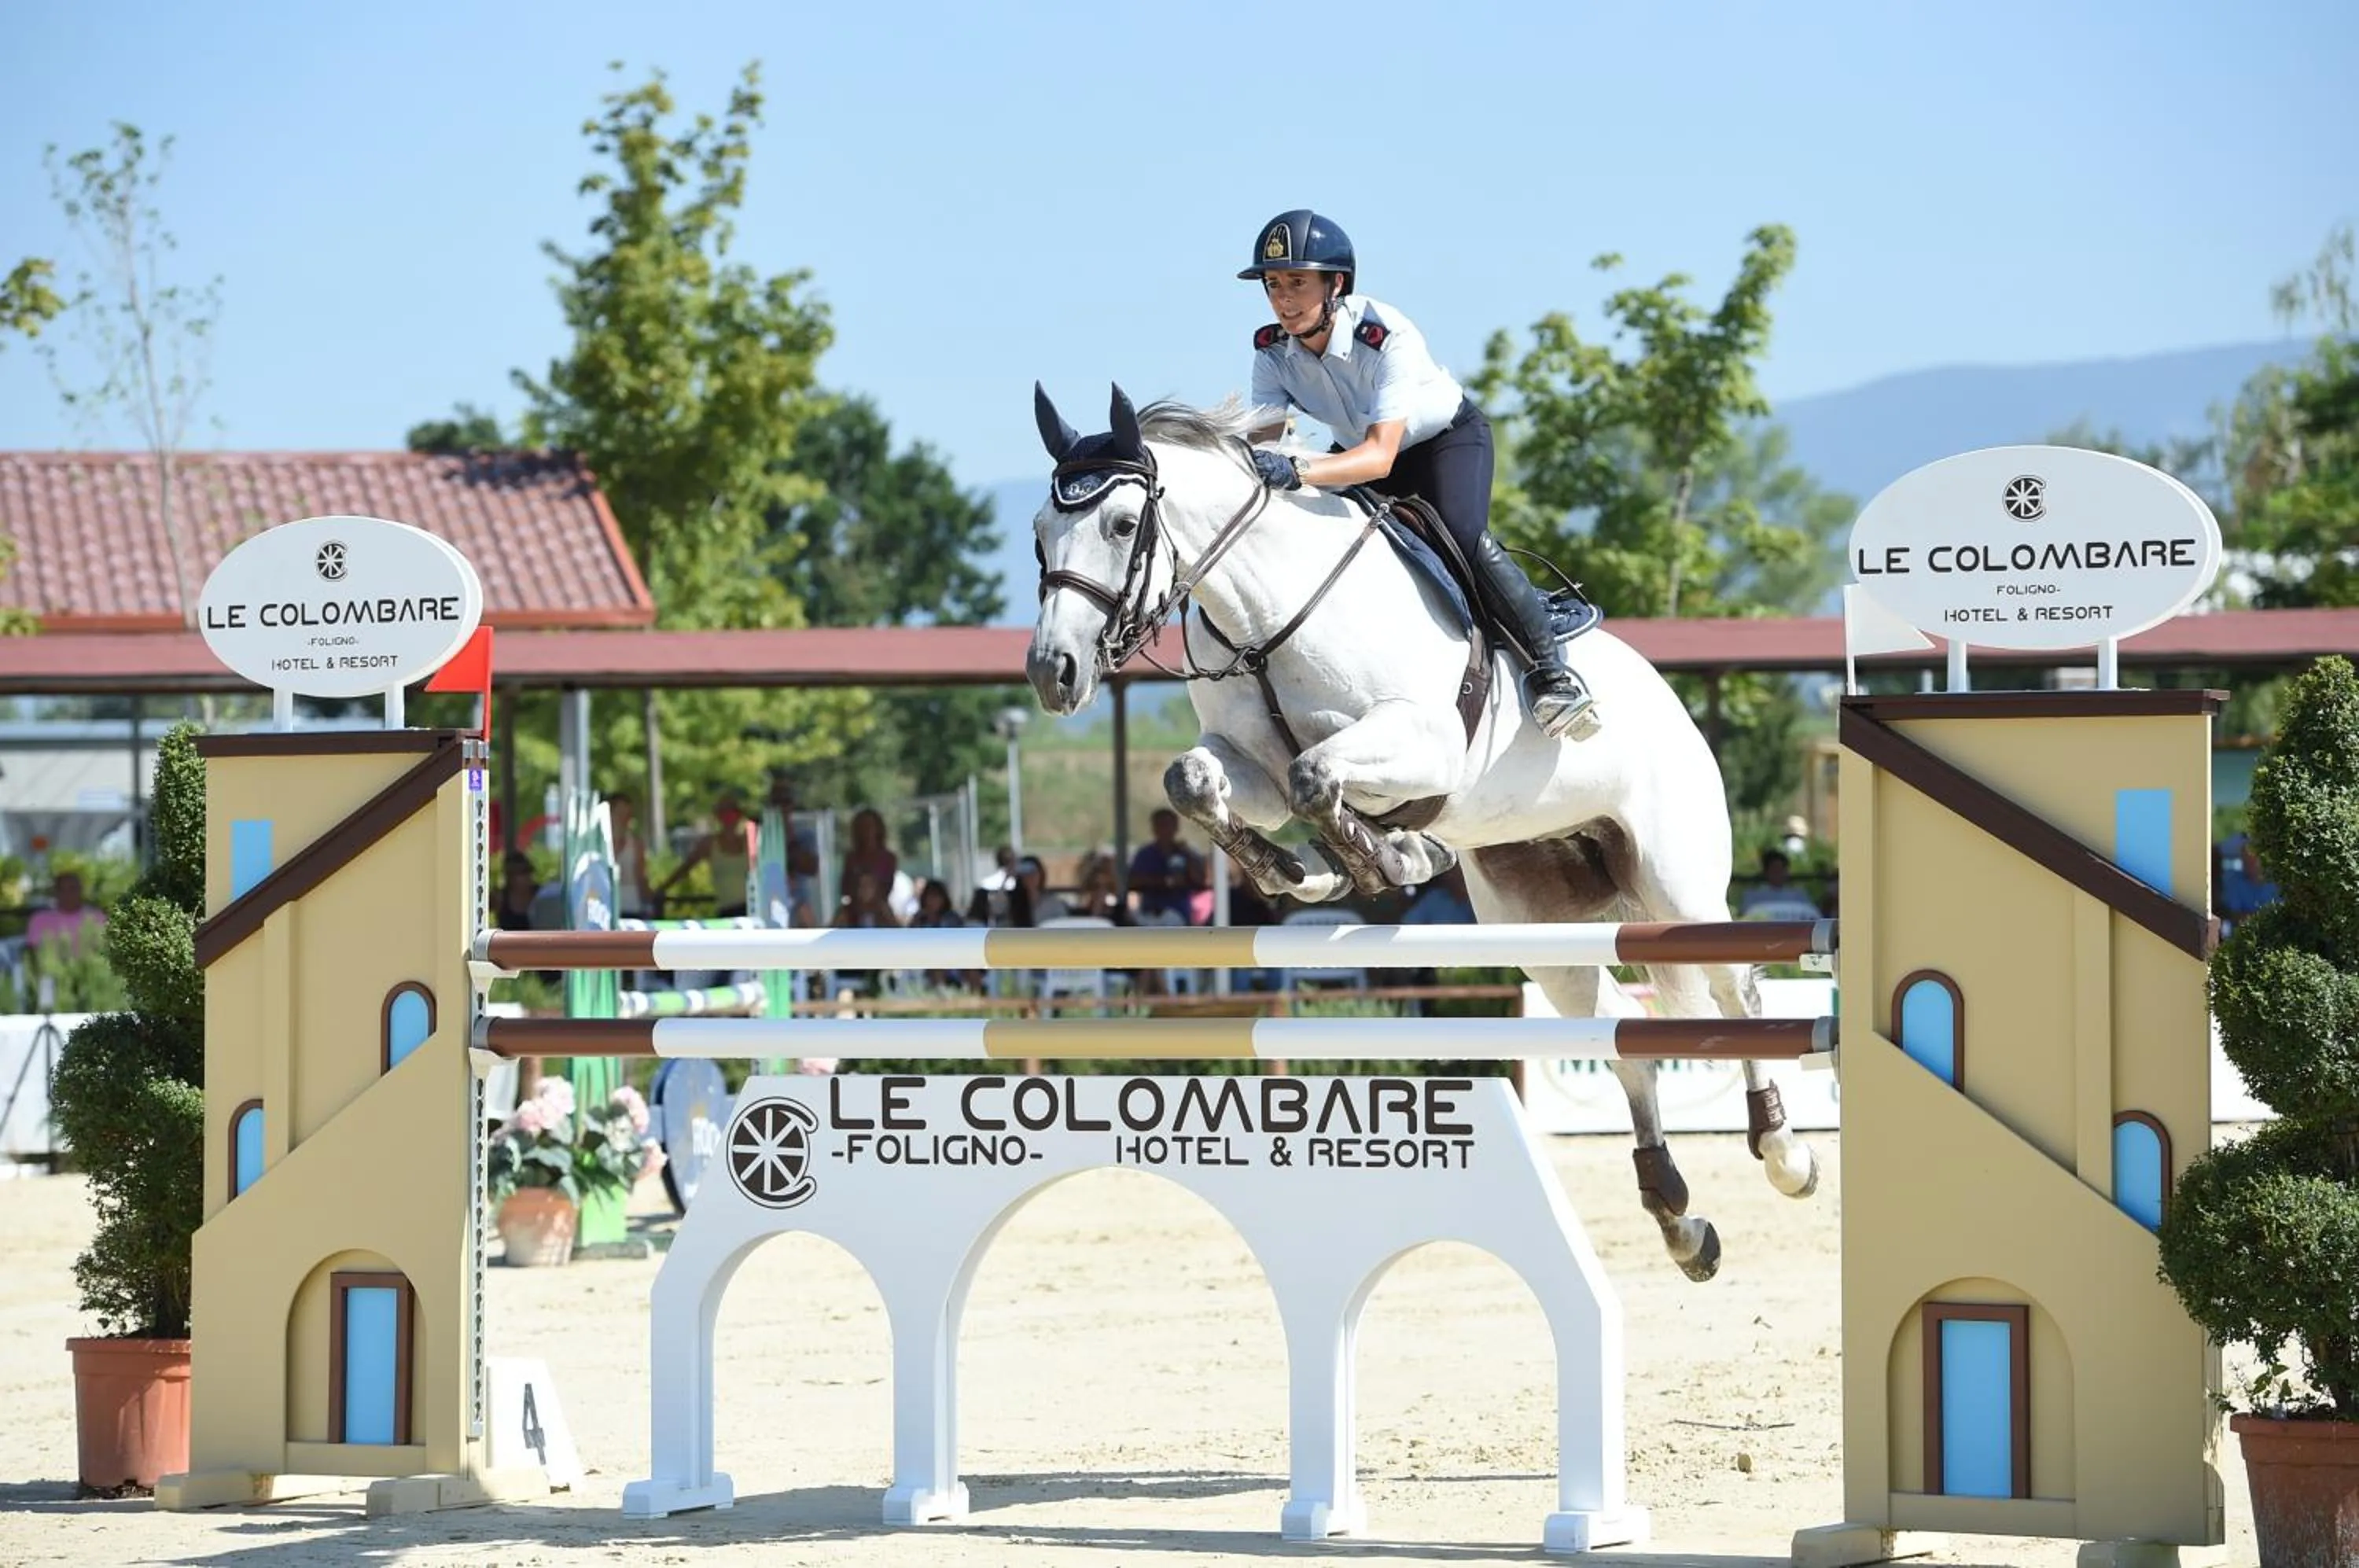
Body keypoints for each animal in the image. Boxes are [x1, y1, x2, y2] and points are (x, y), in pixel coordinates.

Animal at [1021, 383, 1819, 1282]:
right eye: (1040, 531)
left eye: (1124, 525)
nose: (1053, 674)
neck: (1266, 616)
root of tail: (1668, 694)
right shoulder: (1249, 766)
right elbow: (1196, 781)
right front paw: (1305, 871)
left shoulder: (1422, 743)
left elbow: (1319, 775)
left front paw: (1385, 856)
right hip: (1536, 918)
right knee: (1619, 1031)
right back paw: (1679, 1218)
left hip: (1677, 881)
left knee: (1734, 990)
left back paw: (1785, 1153)